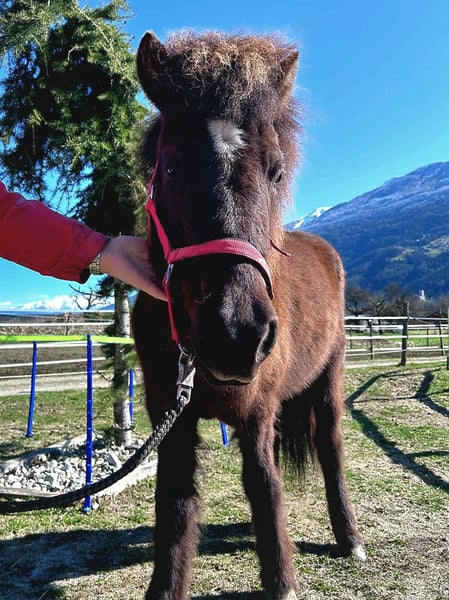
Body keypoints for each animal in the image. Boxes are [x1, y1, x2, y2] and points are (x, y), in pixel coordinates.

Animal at [132, 30, 366, 600]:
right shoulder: (168, 419)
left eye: (277, 172)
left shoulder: (258, 412)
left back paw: (348, 537)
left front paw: (281, 580)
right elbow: (174, 504)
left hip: (328, 381)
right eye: (172, 167)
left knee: (330, 447)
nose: (235, 333)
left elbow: (264, 486)